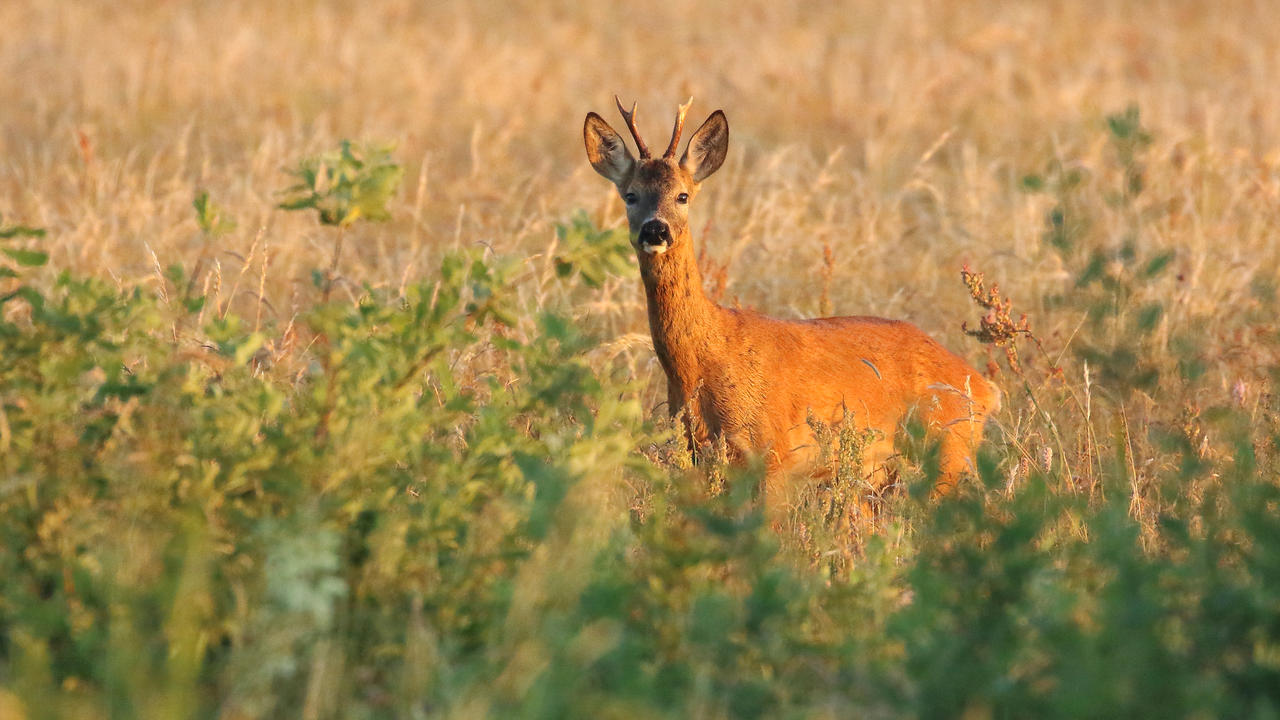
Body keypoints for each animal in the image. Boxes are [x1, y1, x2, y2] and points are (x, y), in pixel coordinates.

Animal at [586, 96, 998, 509]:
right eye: (630, 195)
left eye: (682, 195)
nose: (655, 230)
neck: (705, 362)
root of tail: (984, 387)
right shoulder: (699, 454)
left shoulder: (774, 454)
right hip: (878, 475)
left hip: (947, 450)